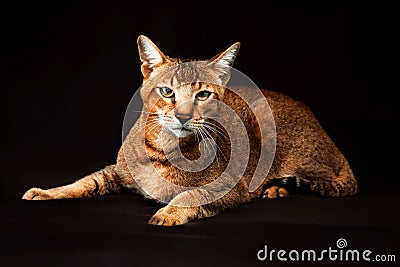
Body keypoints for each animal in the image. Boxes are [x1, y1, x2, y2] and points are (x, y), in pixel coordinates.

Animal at [21, 35, 356, 226]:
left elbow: (191, 194)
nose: (183, 115)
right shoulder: (117, 171)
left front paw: (169, 212)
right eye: (167, 92)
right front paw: (47, 192)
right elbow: (82, 182)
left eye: (203, 95)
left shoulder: (229, 187)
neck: (163, 150)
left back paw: (277, 187)